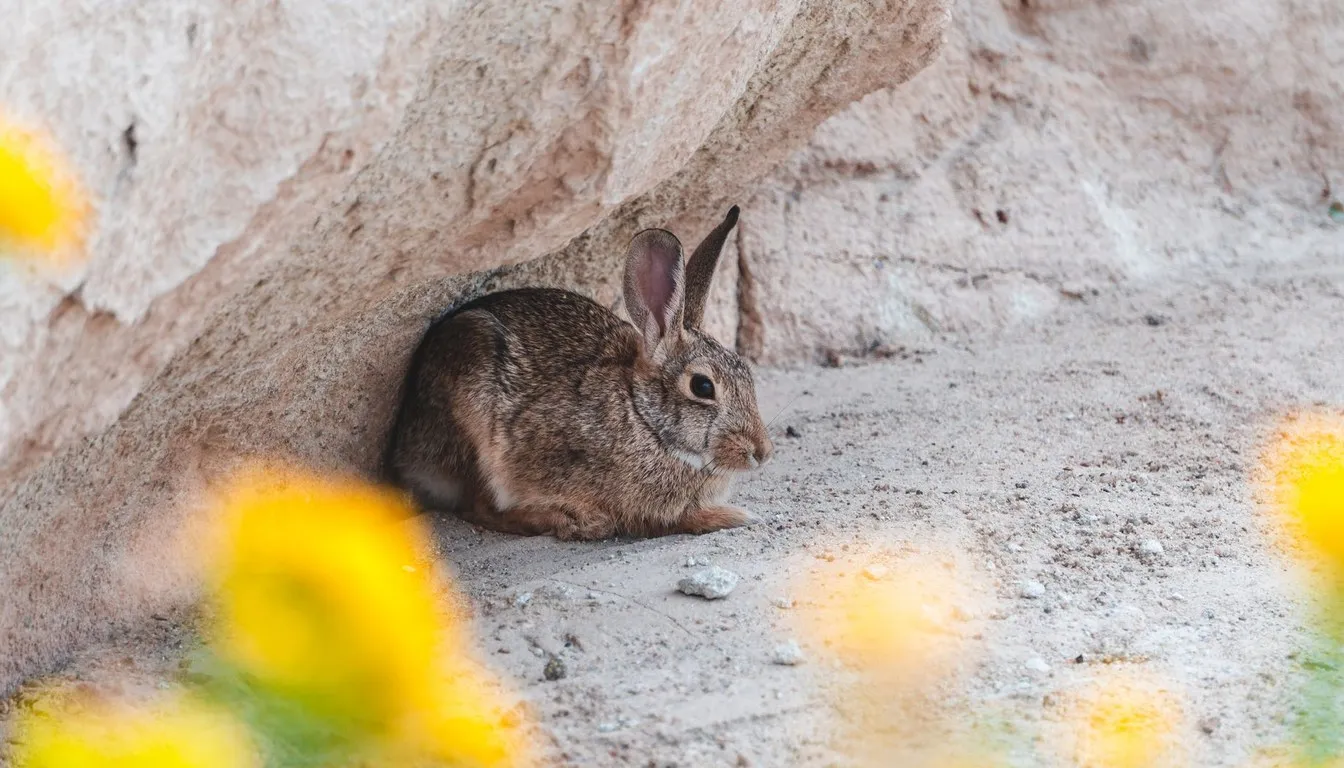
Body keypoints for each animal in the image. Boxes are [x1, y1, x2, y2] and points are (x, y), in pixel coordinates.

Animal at [383, 206, 773, 540]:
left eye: (746, 373)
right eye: (702, 386)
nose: (762, 452)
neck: (642, 416)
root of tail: (404, 449)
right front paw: (733, 516)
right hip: (474, 419)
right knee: (478, 507)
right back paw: (569, 521)